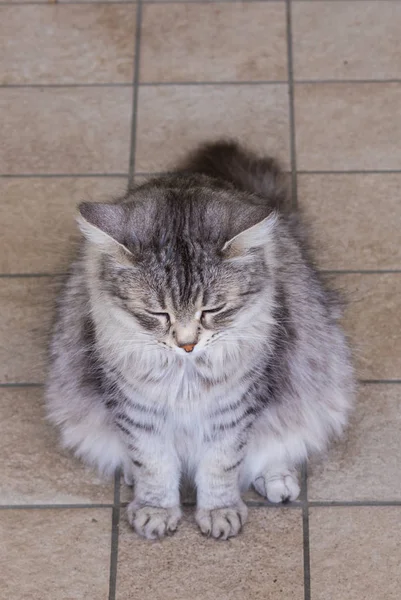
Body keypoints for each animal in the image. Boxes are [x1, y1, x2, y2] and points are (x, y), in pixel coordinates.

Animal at [46, 139, 354, 540]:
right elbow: (153, 464)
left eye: (212, 309)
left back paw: (278, 480)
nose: (187, 344)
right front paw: (155, 510)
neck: (185, 375)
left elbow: (221, 466)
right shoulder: (137, 410)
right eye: (158, 314)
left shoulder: (234, 408)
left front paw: (220, 512)